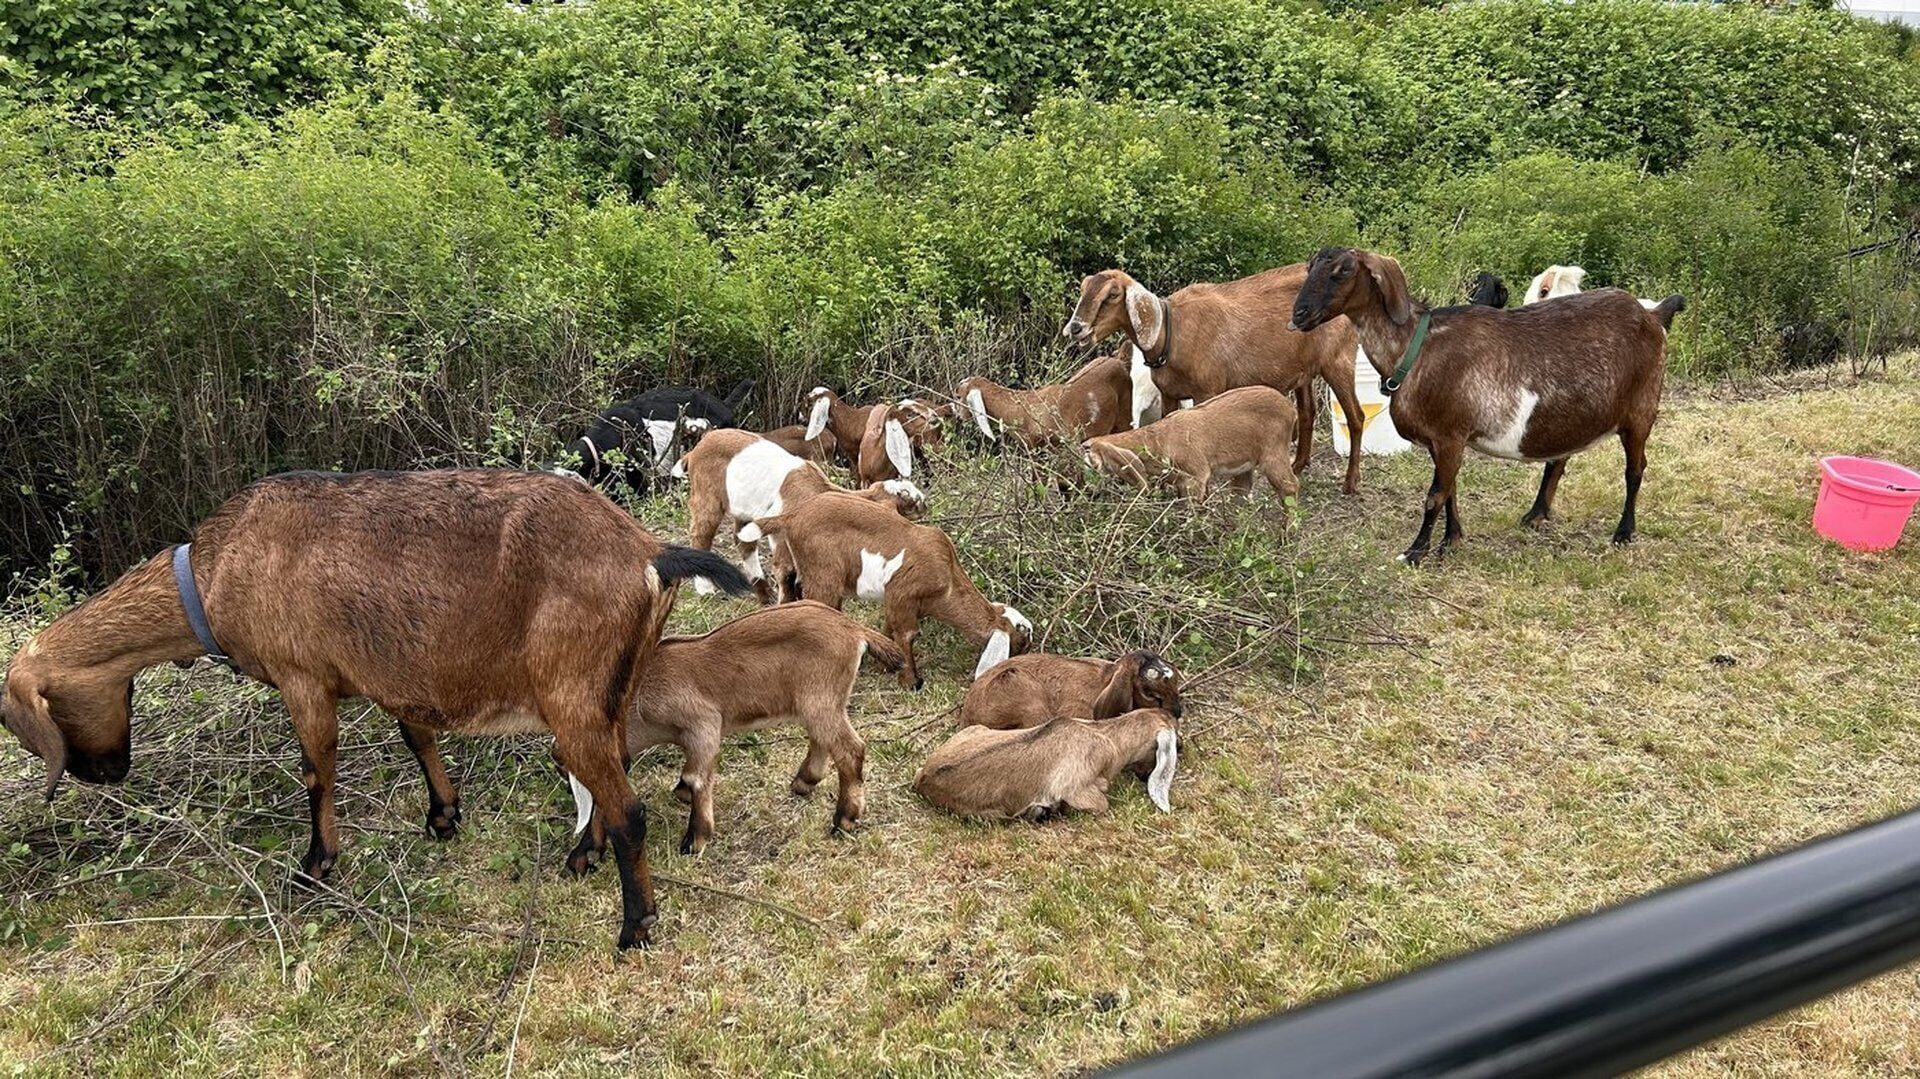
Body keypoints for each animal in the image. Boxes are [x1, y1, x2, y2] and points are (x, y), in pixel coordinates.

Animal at [0, 469, 753, 950]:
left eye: (42, 724)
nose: (104, 772)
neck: (218, 568)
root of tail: (649, 552)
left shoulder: (302, 677)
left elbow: (317, 771)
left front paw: (315, 864)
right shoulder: (395, 673)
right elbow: (416, 735)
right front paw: (443, 814)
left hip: (571, 687)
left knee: (628, 807)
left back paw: (635, 925)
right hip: (610, 688)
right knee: (610, 765)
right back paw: (580, 856)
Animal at [562, 601, 903, 862]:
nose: (580, 861)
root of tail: (853, 629)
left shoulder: (704, 723)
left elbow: (697, 776)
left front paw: (695, 840)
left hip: (822, 701)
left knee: (850, 749)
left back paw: (844, 818)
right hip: (818, 704)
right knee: (822, 740)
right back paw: (804, 782)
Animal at [741, 492, 1030, 690]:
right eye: (1021, 638)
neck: (948, 580)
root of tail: (792, 516)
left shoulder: (896, 602)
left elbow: (889, 628)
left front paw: (887, 666)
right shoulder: (902, 594)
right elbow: (907, 634)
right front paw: (911, 682)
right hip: (824, 576)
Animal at [1081, 386, 1300, 501]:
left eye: (1093, 463)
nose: (1088, 490)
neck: (1161, 440)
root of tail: (1291, 409)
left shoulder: (1197, 475)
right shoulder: (1179, 482)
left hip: (1274, 452)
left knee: (1290, 486)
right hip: (1245, 465)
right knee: (1241, 493)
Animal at [1290, 247, 1685, 564]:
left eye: (1343, 270)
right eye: (1310, 266)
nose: (1299, 314)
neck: (1417, 348)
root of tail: (1653, 316)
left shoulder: (1450, 435)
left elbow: (1435, 496)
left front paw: (1416, 551)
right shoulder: (1442, 440)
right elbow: (1450, 491)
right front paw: (1452, 540)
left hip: (1641, 410)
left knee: (1635, 470)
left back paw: (1623, 532)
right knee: (1559, 459)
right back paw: (1536, 514)